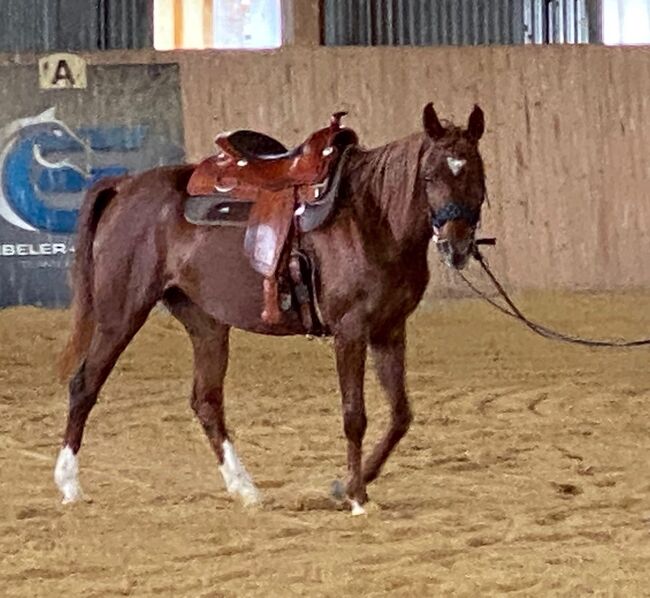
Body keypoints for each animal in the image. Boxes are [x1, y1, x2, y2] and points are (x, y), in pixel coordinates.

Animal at [55, 103, 484, 516]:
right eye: (429, 176)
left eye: (477, 174)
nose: (457, 246)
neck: (371, 217)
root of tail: (124, 185)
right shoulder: (350, 332)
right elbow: (354, 416)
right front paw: (358, 497)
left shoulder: (389, 330)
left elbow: (400, 414)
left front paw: (347, 486)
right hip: (120, 314)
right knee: (84, 385)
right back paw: (69, 485)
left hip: (205, 323)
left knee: (206, 401)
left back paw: (245, 489)